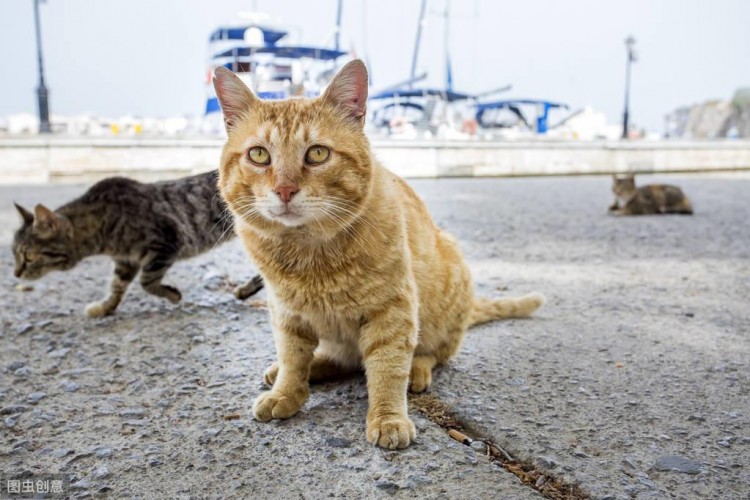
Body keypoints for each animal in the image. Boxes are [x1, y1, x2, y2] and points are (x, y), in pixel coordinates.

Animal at [11, 169, 266, 316]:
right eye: (14, 253)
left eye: (29, 257)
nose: (16, 273)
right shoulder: (125, 260)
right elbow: (117, 286)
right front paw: (105, 307)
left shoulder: (167, 241)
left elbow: (147, 281)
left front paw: (172, 295)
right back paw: (246, 290)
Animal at [212, 59, 548, 450]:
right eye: (259, 155)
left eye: (317, 153)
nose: (284, 190)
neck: (308, 255)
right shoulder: (286, 312)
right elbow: (293, 357)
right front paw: (287, 391)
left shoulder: (392, 310)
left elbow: (387, 367)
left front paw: (388, 417)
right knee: (342, 360)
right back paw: (301, 369)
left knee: (428, 354)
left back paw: (416, 370)